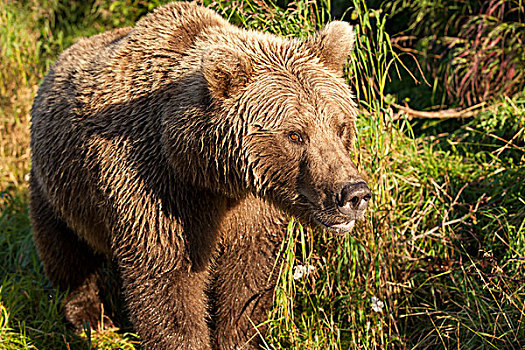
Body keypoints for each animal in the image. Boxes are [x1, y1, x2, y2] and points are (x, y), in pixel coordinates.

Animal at [30, 2, 370, 348]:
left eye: (340, 126)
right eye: (296, 134)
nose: (353, 193)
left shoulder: (251, 210)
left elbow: (247, 280)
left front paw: (238, 336)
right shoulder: (157, 189)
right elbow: (168, 283)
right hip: (59, 184)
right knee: (66, 252)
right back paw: (89, 317)